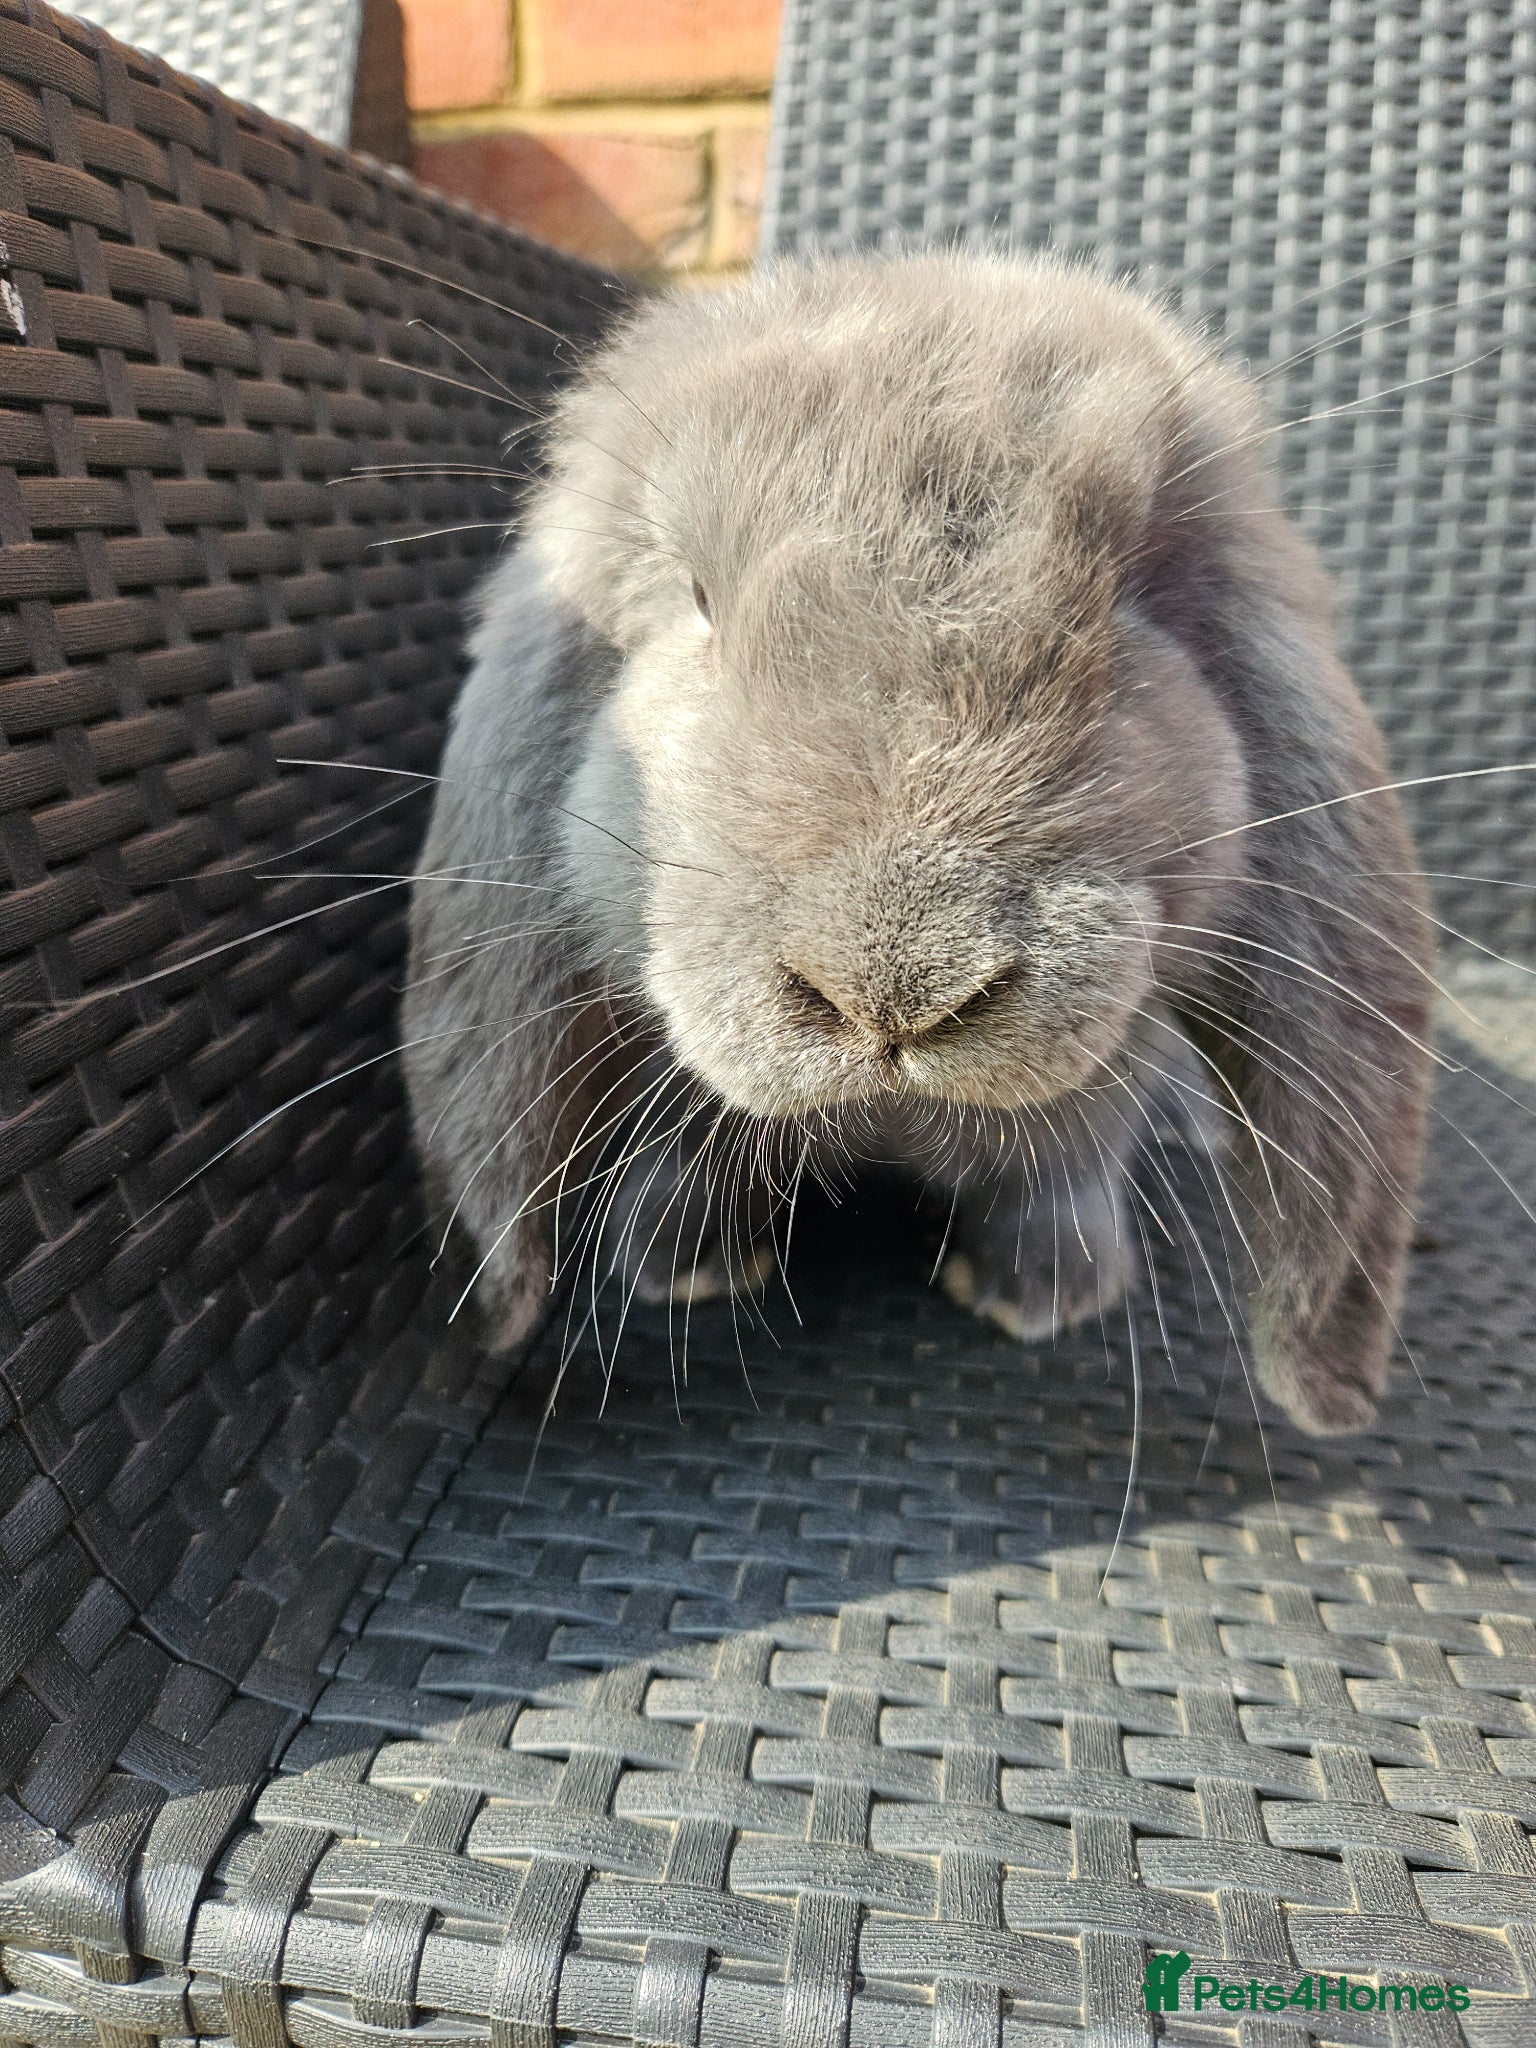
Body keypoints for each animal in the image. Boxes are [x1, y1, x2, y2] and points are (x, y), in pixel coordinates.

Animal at [402, 250, 1432, 1437]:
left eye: (1133, 601)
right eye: (696, 599)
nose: (893, 992)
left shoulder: (1091, 1100)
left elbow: (1057, 1174)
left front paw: (1045, 1295)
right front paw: (679, 1265)